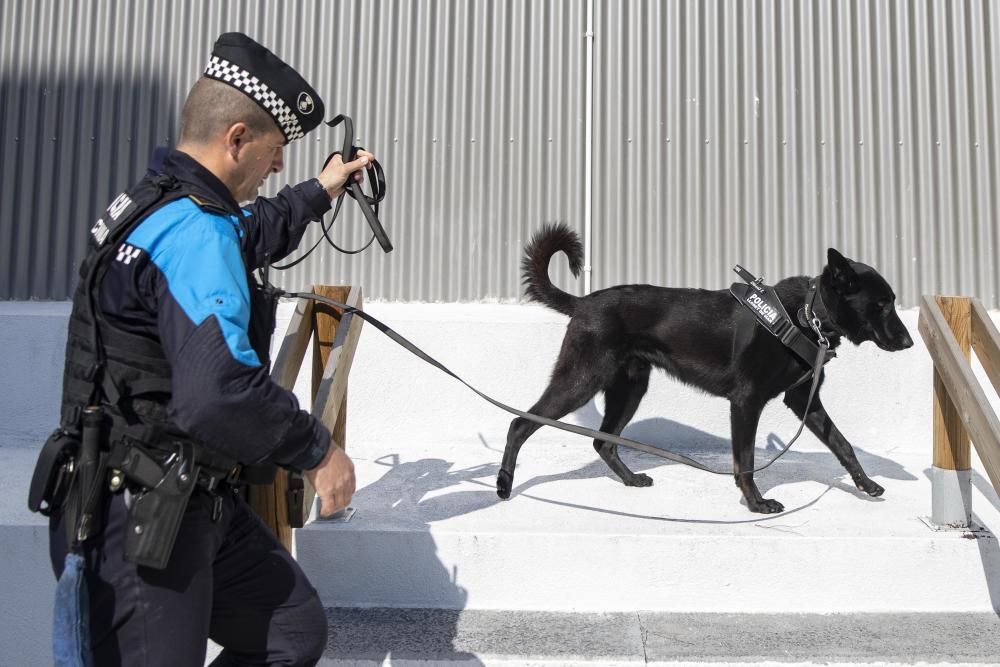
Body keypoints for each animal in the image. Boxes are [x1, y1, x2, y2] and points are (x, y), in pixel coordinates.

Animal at [496, 226, 912, 516]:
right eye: (881, 304)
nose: (909, 342)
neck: (806, 316)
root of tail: (583, 302)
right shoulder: (745, 404)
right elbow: (745, 460)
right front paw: (756, 504)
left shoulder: (802, 401)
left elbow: (842, 444)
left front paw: (865, 483)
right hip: (581, 380)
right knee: (520, 423)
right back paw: (503, 485)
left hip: (629, 389)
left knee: (603, 442)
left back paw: (630, 479)